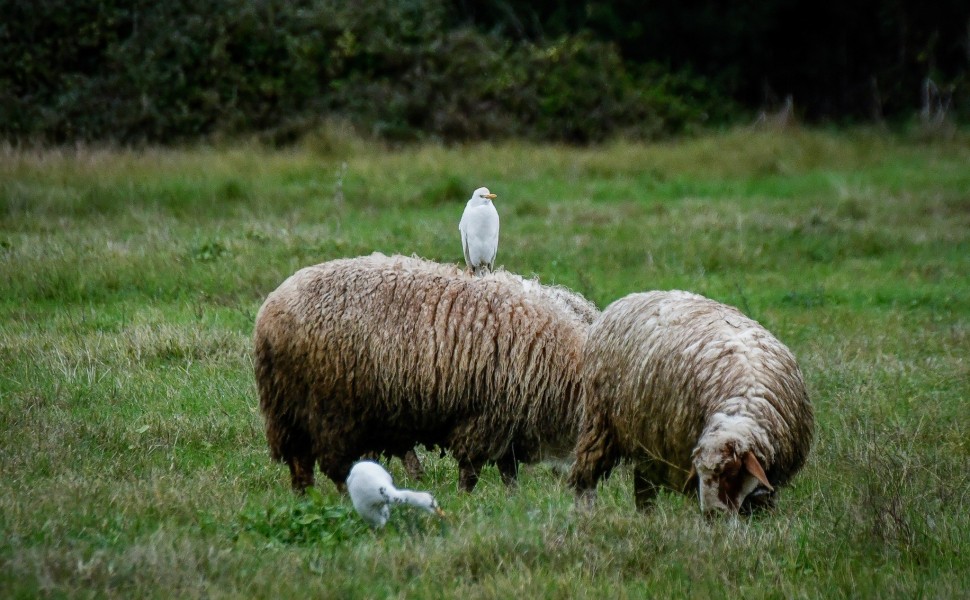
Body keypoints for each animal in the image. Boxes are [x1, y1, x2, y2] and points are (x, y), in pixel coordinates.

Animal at [253, 253, 592, 492]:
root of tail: (269, 310)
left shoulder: (506, 422)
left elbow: (509, 473)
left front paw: (512, 502)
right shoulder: (486, 417)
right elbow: (472, 470)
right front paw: (465, 501)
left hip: (294, 409)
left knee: (301, 465)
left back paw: (307, 498)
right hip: (327, 408)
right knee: (334, 465)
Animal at [572, 290, 812, 516]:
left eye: (732, 472)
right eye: (701, 475)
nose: (713, 515)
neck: (742, 403)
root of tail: (628, 298)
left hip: (648, 439)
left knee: (643, 484)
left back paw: (647, 516)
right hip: (601, 424)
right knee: (587, 478)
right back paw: (586, 513)